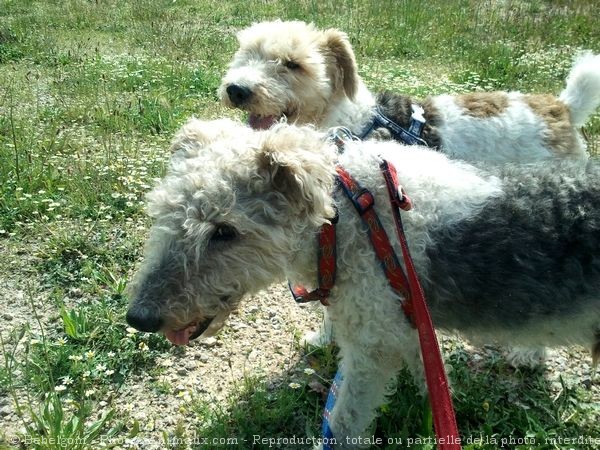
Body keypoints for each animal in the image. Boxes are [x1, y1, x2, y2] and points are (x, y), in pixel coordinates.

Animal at [127, 118, 600, 448]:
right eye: (163, 211)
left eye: (224, 230)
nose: (139, 318)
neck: (348, 217)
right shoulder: (403, 320)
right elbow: (429, 372)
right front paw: (437, 408)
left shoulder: (372, 346)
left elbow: (344, 420)